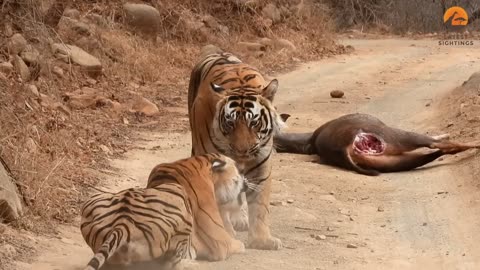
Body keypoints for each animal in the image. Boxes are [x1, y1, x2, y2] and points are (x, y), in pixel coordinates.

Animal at [80, 154, 246, 270]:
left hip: (93, 199)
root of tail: (122, 224)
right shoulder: (220, 240)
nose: (246, 181)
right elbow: (235, 242)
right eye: (238, 170)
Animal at [187, 45, 284, 250]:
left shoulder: (261, 168)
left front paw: (262, 240)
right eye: (230, 123)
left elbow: (260, 206)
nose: (242, 152)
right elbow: (220, 205)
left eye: (254, 122)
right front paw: (226, 233)